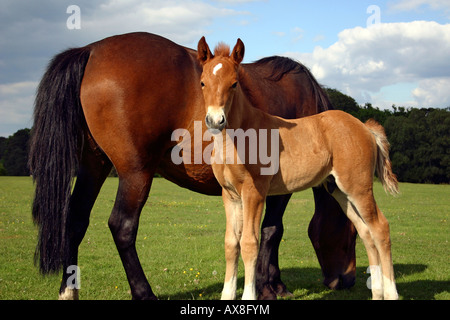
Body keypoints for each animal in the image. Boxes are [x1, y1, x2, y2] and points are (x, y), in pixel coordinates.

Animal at [29, 31, 356, 298]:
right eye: (352, 234)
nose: (346, 282)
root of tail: (91, 49)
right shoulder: (279, 189)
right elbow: (272, 231)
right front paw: (271, 286)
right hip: (136, 173)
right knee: (122, 226)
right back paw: (144, 293)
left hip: (93, 167)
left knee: (75, 221)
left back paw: (68, 291)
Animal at [199, 37, 400, 300]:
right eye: (202, 82)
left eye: (234, 84)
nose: (215, 120)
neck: (240, 136)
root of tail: (365, 127)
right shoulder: (230, 195)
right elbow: (231, 243)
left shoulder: (254, 193)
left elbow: (249, 243)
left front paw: (250, 296)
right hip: (338, 190)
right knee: (366, 232)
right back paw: (376, 294)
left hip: (358, 187)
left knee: (381, 228)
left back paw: (391, 293)